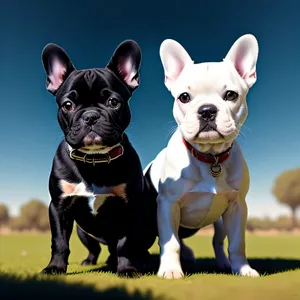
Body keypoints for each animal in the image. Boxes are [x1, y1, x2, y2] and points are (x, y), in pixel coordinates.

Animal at [40, 41, 158, 278]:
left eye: (113, 102)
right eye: (68, 105)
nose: (91, 116)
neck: (94, 160)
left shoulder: (129, 207)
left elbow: (126, 243)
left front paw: (127, 269)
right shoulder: (58, 206)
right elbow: (59, 241)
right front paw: (55, 267)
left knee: (133, 247)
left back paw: (142, 263)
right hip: (82, 232)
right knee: (94, 248)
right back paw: (92, 261)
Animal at [144, 34, 258, 278]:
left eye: (231, 95)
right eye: (184, 97)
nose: (206, 110)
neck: (209, 156)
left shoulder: (237, 206)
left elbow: (237, 243)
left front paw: (243, 269)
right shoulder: (167, 205)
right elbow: (171, 242)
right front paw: (170, 270)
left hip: (221, 220)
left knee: (218, 241)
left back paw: (224, 264)